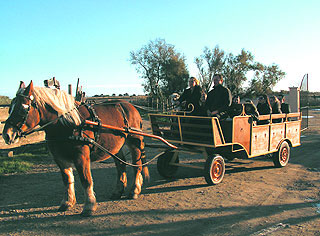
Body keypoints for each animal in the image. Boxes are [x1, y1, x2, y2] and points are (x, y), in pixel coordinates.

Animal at [1, 80, 149, 216]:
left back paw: (134, 190)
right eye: (9, 109)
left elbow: (85, 180)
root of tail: (130, 106)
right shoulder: (60, 158)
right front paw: (67, 202)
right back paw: (118, 191)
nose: (7, 135)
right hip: (116, 147)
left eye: (23, 109)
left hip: (134, 142)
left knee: (137, 166)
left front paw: (89, 206)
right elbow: (67, 179)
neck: (67, 123)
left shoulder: (81, 156)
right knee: (121, 166)